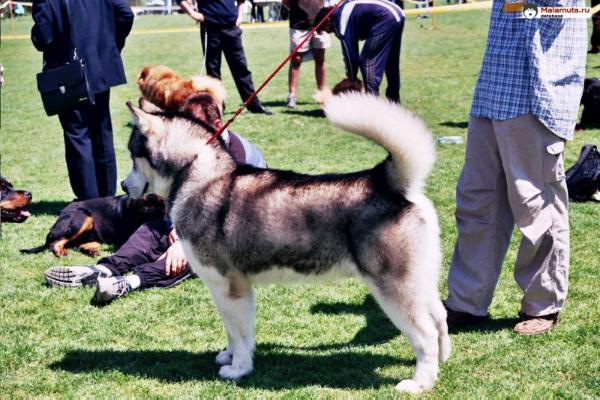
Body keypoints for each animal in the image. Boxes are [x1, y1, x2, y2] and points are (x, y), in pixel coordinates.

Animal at [122, 93, 450, 394]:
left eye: (132, 157)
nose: (124, 186)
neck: (198, 176)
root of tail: (386, 182)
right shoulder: (223, 289)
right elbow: (230, 331)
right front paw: (228, 356)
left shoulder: (231, 287)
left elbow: (241, 334)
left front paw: (239, 368)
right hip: (419, 282)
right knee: (439, 318)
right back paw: (443, 360)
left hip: (392, 289)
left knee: (425, 334)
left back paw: (420, 383)